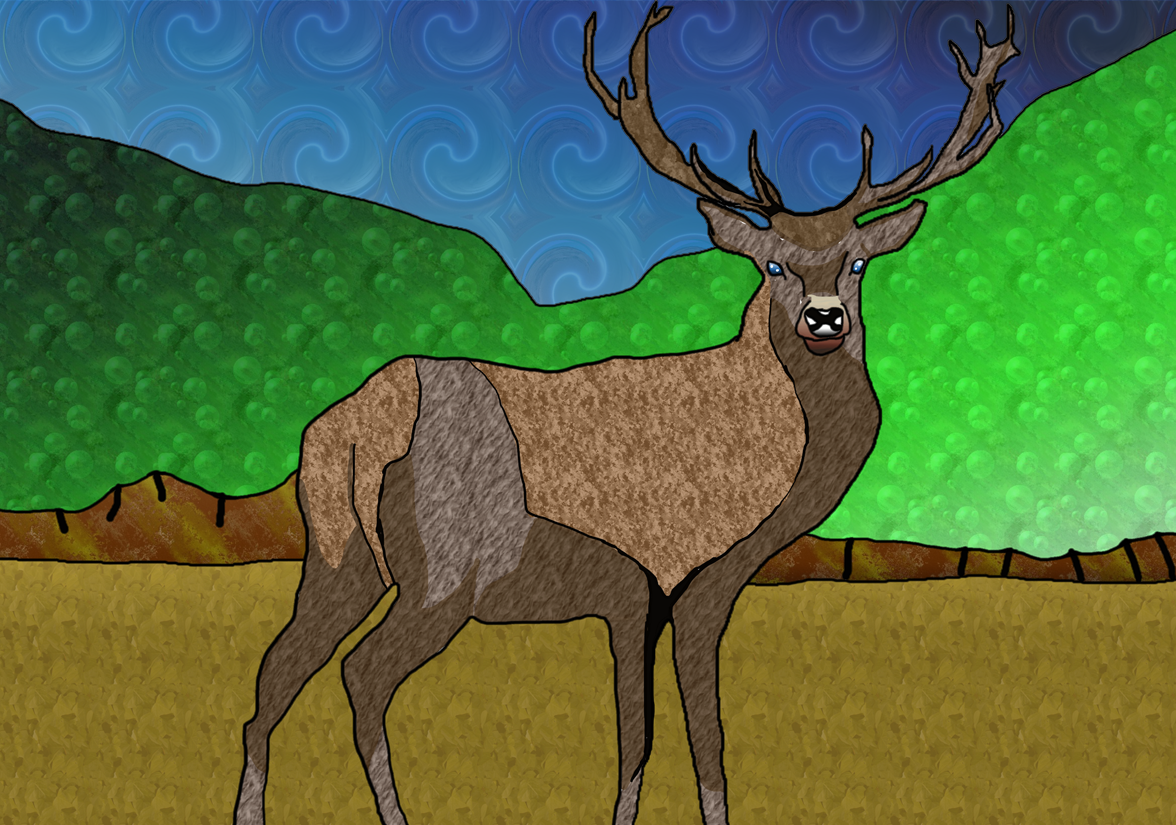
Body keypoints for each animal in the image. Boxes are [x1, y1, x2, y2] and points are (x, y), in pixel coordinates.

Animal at [233, 4, 1018, 824]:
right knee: (361, 674)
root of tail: (356, 425)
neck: (768, 469)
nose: (824, 318)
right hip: (444, 572)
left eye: (858, 262)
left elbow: (650, 738)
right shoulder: (679, 575)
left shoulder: (635, 597)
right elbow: (683, 739)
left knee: (273, 674)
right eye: (772, 264)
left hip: (335, 552)